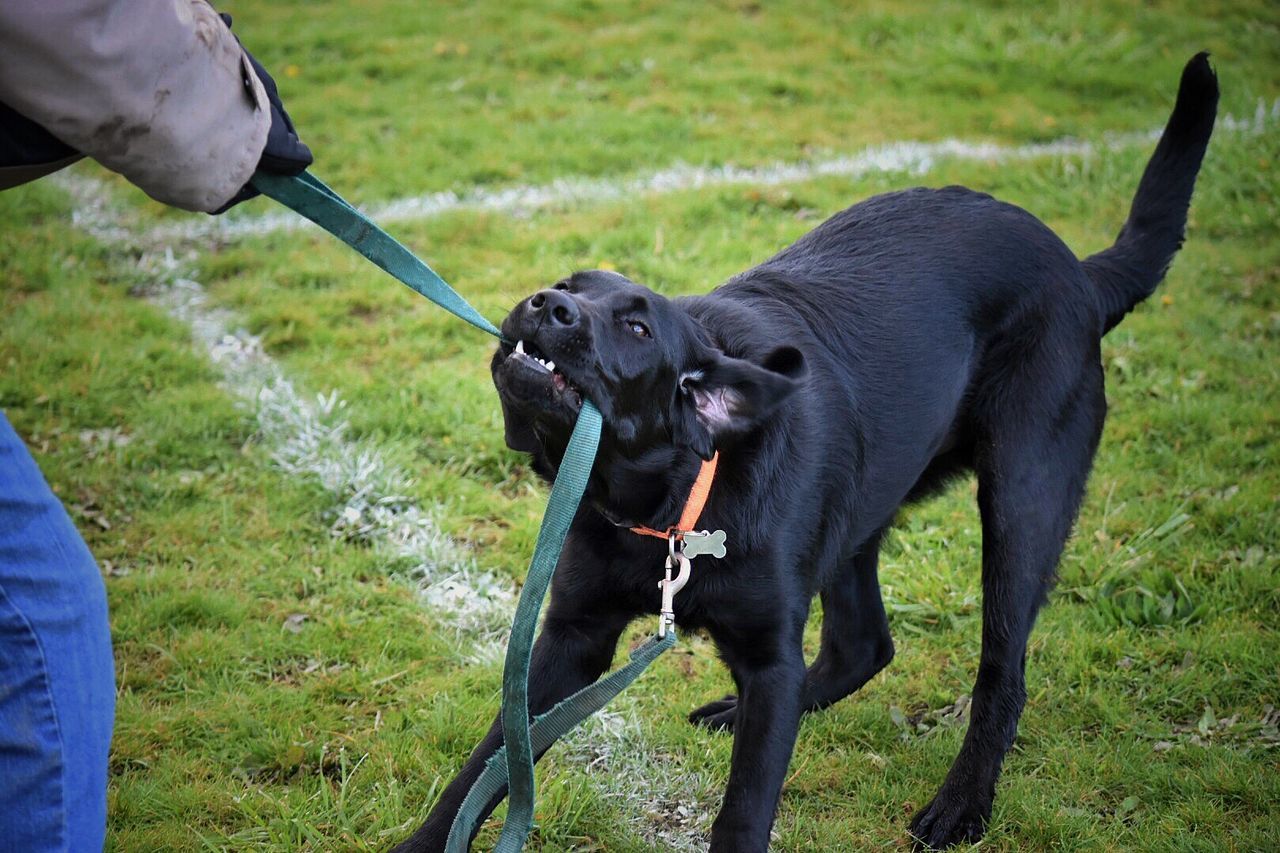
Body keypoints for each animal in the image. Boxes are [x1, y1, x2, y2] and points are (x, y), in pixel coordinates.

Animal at [399, 54, 1218, 850]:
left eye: (636, 328)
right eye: (567, 283)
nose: (547, 303)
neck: (677, 500)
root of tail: (1082, 273)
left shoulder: (765, 654)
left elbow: (744, 808)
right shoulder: (573, 636)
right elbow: (489, 763)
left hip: (1022, 503)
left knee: (999, 673)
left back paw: (961, 806)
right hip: (860, 508)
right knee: (864, 644)